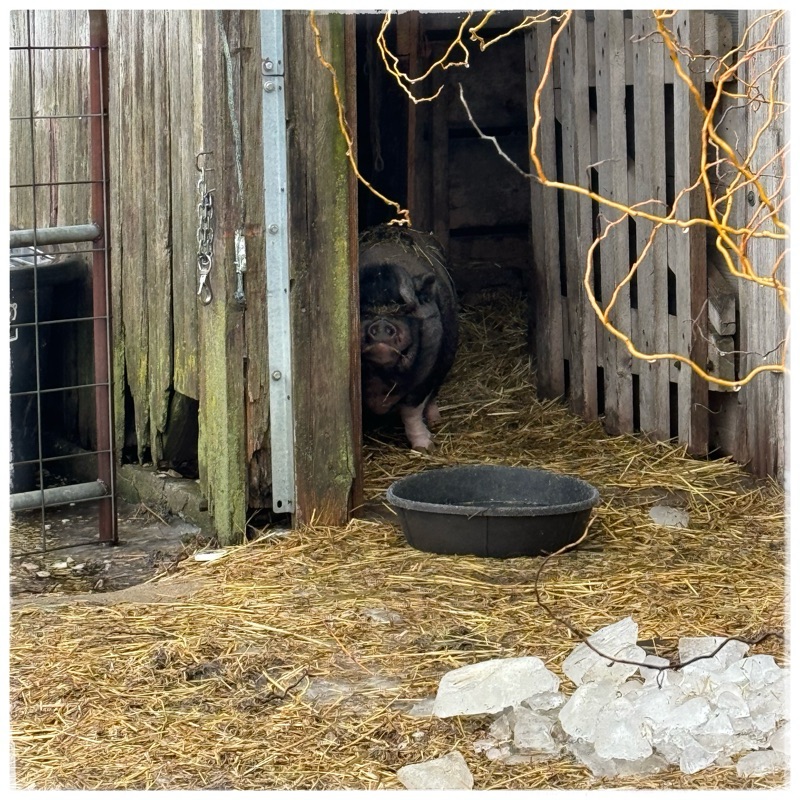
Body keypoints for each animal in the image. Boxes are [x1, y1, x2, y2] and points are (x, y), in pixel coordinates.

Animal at [359, 224, 458, 450]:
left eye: (404, 309)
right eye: (365, 312)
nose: (381, 325)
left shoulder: (426, 375)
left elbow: (411, 411)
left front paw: (425, 447)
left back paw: (435, 420)